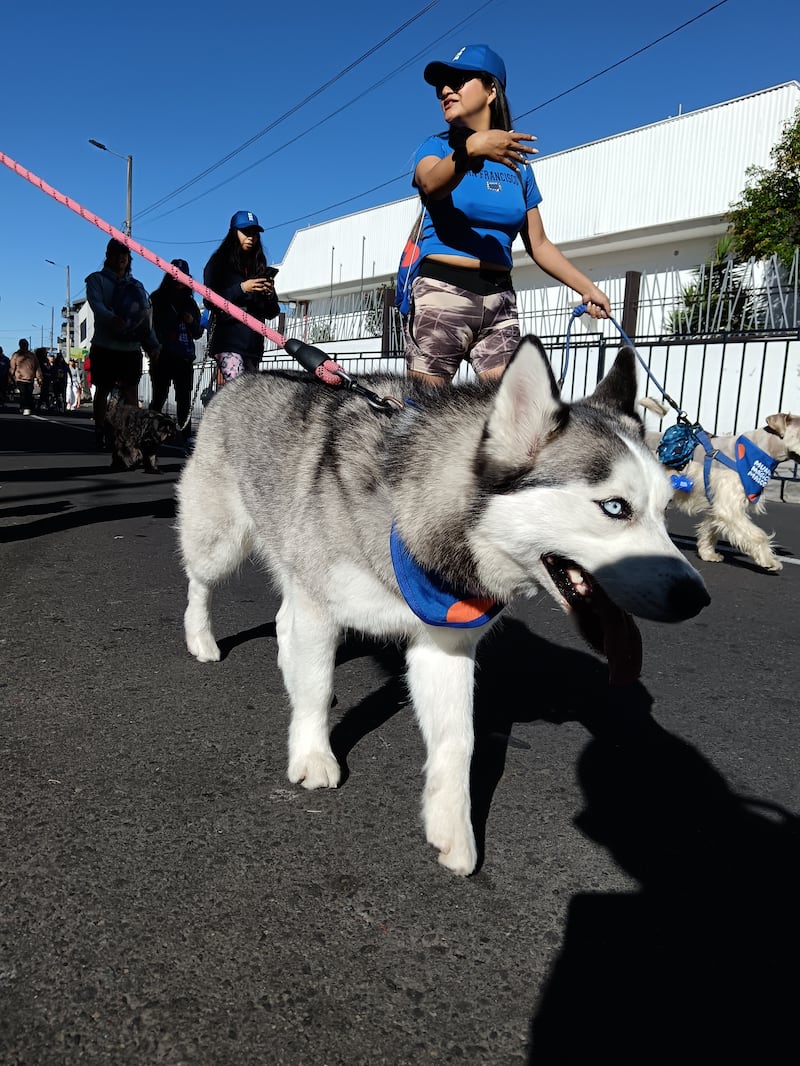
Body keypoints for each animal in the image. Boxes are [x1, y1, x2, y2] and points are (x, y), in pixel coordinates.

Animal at [644, 398, 800, 567]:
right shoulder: (729, 508)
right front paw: (769, 560)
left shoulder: (716, 506)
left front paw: (708, 554)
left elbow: (709, 531)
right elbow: (758, 535)